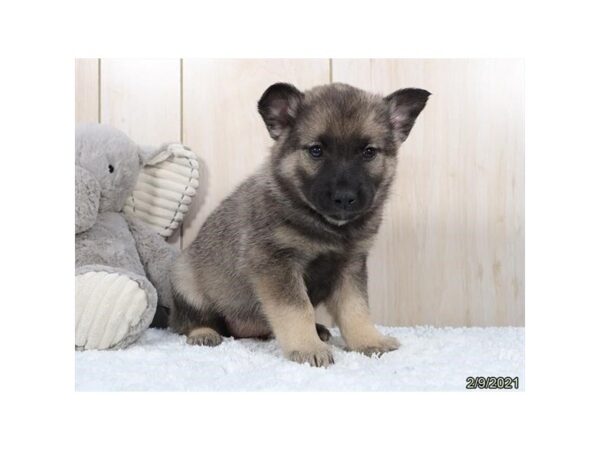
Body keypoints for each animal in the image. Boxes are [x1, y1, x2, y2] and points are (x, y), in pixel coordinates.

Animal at [171, 82, 428, 368]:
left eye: (369, 152)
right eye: (316, 150)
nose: (344, 198)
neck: (328, 227)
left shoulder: (350, 267)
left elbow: (356, 309)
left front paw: (367, 340)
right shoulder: (277, 264)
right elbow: (296, 309)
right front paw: (307, 348)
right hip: (185, 279)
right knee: (188, 321)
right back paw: (203, 333)